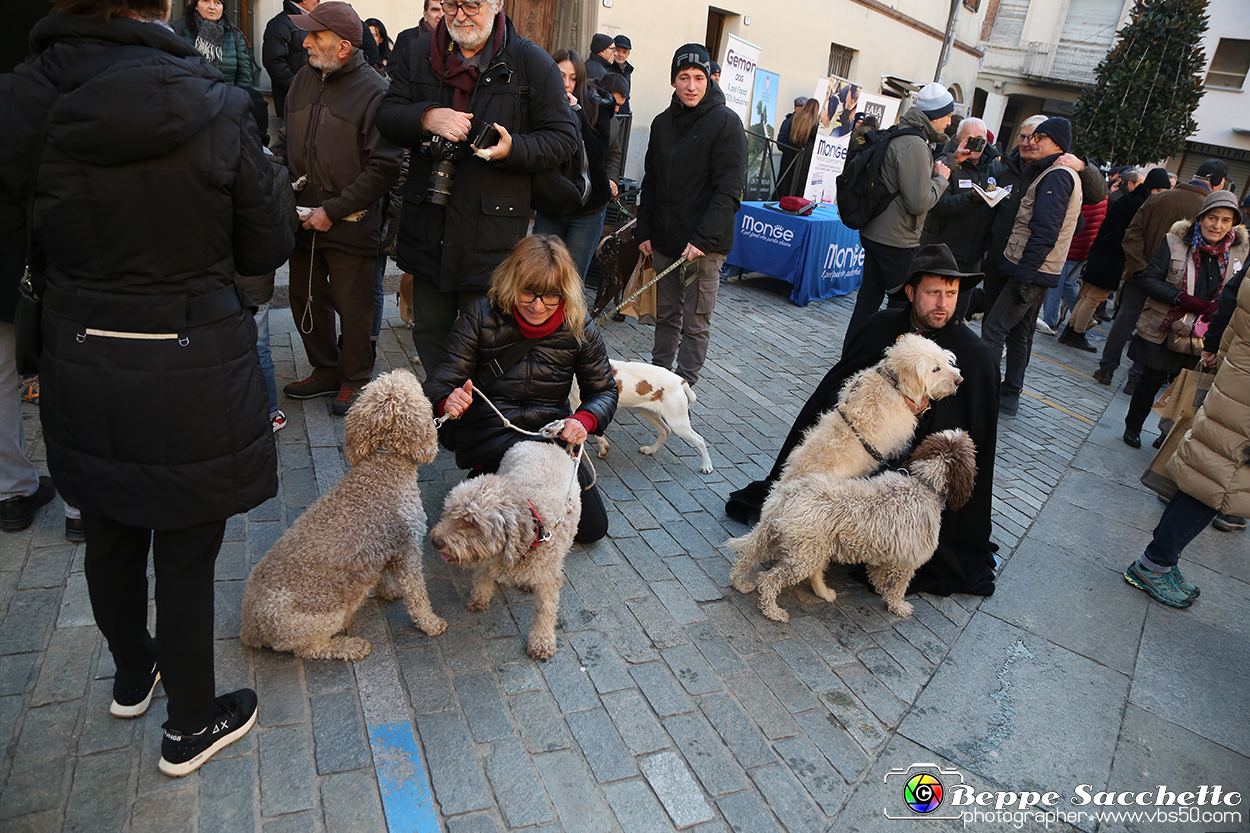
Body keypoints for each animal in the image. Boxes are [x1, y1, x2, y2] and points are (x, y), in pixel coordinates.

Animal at [240, 367, 450, 660]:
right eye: (405, 385)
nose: (405, 369)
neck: (383, 467)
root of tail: (251, 628)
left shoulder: (384, 549)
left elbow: (382, 576)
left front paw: (388, 592)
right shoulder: (407, 549)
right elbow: (417, 594)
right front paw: (430, 623)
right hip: (318, 621)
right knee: (310, 649)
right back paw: (352, 646)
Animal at [430, 437, 580, 660]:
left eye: (472, 522)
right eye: (449, 513)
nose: (436, 541)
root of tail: (544, 442)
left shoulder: (549, 577)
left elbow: (545, 612)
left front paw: (542, 641)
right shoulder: (487, 558)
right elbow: (482, 578)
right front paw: (479, 598)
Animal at [730, 430, 980, 620]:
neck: (923, 484)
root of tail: (789, 492)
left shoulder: (890, 553)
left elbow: (880, 575)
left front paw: (879, 589)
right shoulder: (907, 560)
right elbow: (898, 587)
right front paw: (899, 607)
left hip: (776, 536)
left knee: (747, 557)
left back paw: (740, 584)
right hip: (804, 556)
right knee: (768, 580)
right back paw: (773, 611)